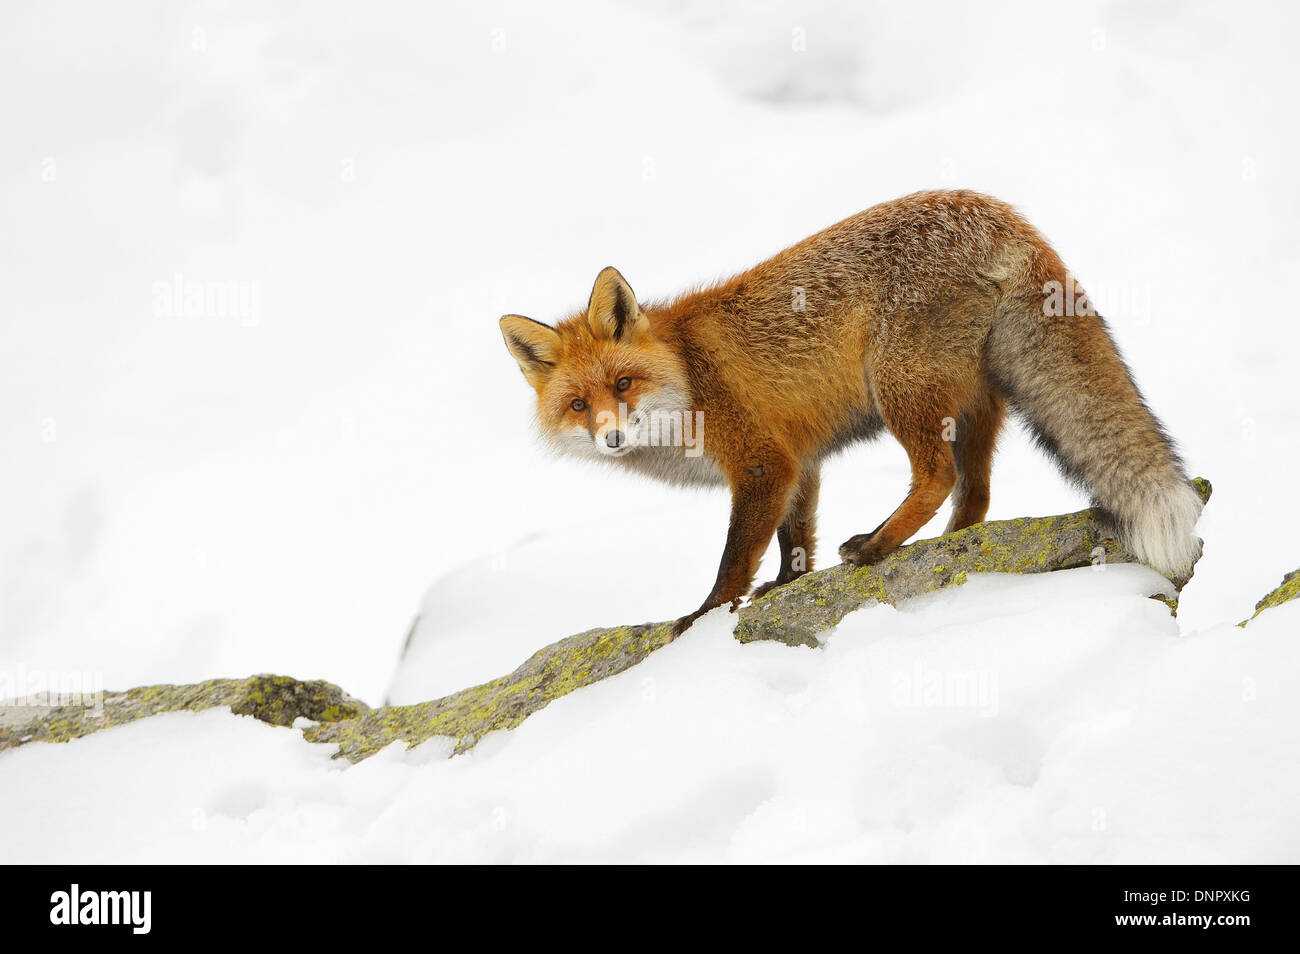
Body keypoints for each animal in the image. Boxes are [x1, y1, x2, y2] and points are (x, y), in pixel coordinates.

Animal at [499, 190, 1202, 632]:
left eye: (624, 383)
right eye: (579, 404)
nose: (613, 438)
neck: (689, 375)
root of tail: (996, 210)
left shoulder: (763, 463)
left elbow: (734, 558)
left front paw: (703, 618)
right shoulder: (800, 462)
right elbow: (794, 543)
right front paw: (785, 589)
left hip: (899, 390)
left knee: (937, 476)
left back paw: (876, 547)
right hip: (974, 404)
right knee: (975, 493)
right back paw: (945, 549)